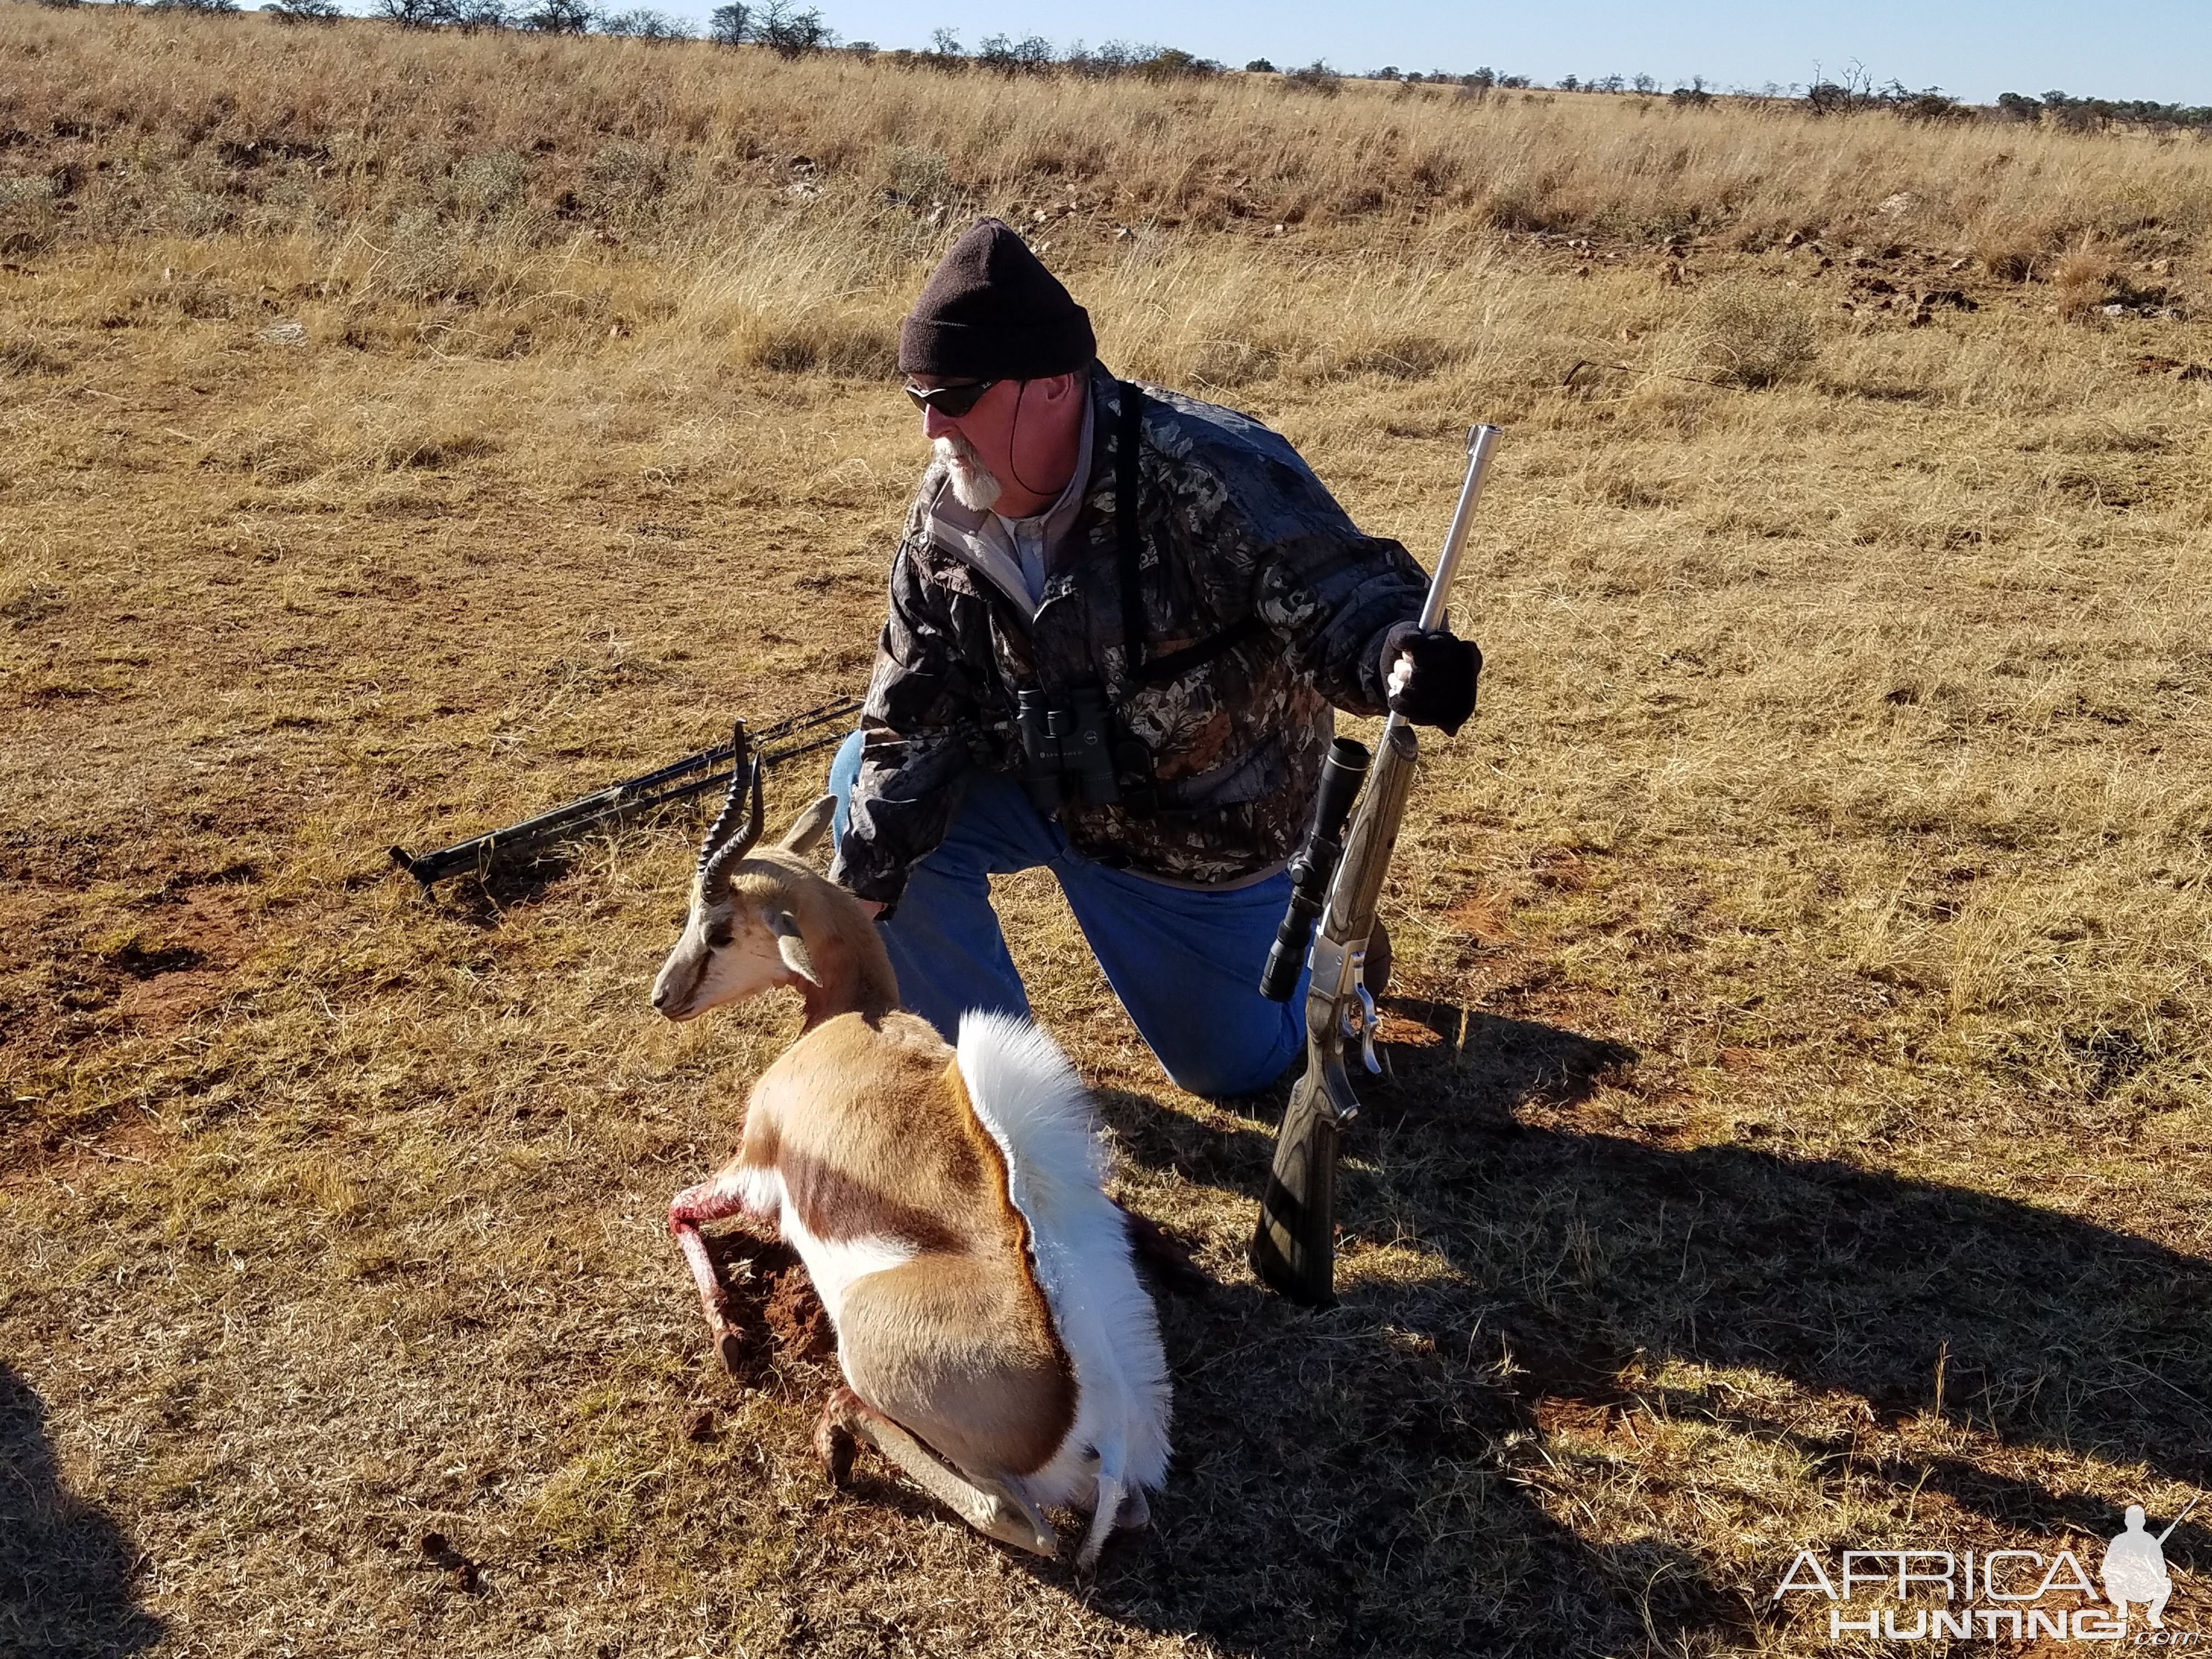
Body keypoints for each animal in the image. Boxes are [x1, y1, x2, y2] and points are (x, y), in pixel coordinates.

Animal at [650, 738, 1177, 1575]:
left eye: (721, 927)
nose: (663, 997)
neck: (849, 1018)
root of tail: (1107, 1425)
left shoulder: (756, 1171)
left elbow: (674, 1210)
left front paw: (732, 1339)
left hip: (871, 1348)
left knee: (1011, 1515)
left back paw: (838, 1430)